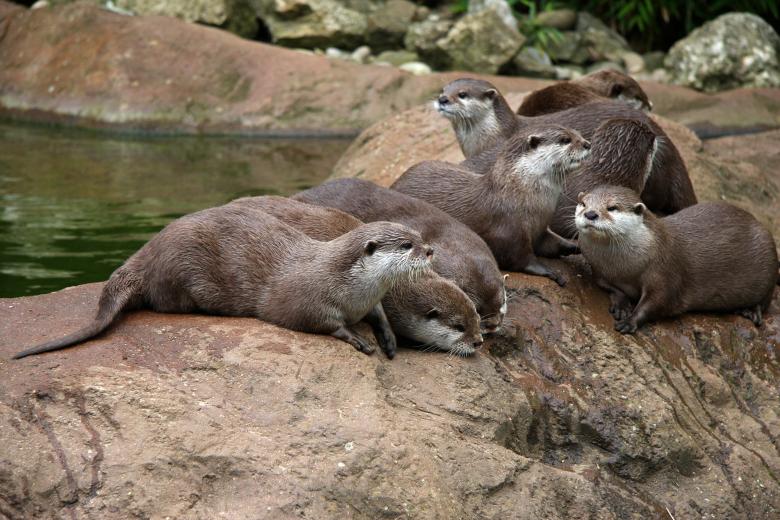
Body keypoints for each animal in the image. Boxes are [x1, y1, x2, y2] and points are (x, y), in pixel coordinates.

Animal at [13, 205, 432, 360]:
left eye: (417, 235)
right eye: (407, 245)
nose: (430, 250)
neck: (348, 284)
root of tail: (148, 252)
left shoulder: (368, 300)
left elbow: (379, 314)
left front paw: (388, 338)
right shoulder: (304, 298)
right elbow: (319, 323)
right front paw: (356, 338)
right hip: (180, 274)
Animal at [392, 125, 590, 285]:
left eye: (578, 134)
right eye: (565, 140)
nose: (587, 144)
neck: (517, 196)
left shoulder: (540, 229)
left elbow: (553, 243)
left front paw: (577, 247)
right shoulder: (509, 233)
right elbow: (520, 259)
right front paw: (550, 272)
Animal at [576, 186, 778, 333]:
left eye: (612, 207)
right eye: (583, 203)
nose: (591, 214)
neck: (624, 268)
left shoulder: (665, 270)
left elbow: (657, 302)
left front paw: (630, 321)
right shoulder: (600, 272)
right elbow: (610, 287)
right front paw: (621, 304)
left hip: (768, 256)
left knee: (766, 298)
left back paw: (750, 311)